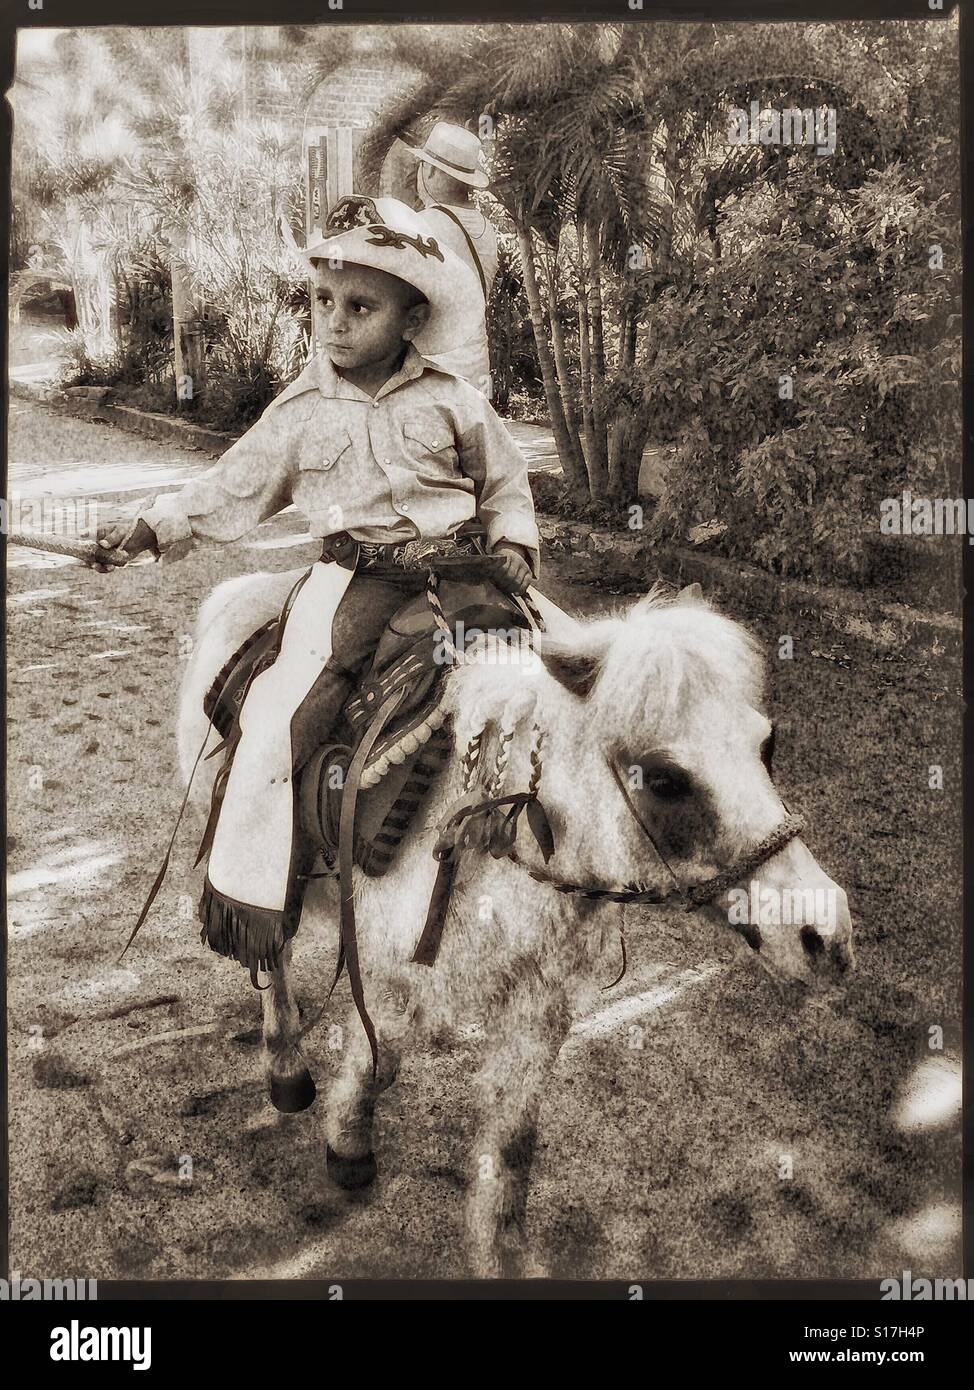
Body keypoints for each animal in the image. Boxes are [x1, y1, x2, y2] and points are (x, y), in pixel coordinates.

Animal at [180, 569, 850, 1273]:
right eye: (666, 779)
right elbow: (379, 1055)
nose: (825, 935)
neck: (499, 830)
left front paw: (499, 1248)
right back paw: (285, 1066)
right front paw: (349, 1145)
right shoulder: (393, 967)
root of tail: (241, 588)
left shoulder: (539, 1001)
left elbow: (513, 1137)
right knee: (271, 950)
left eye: (766, 744)